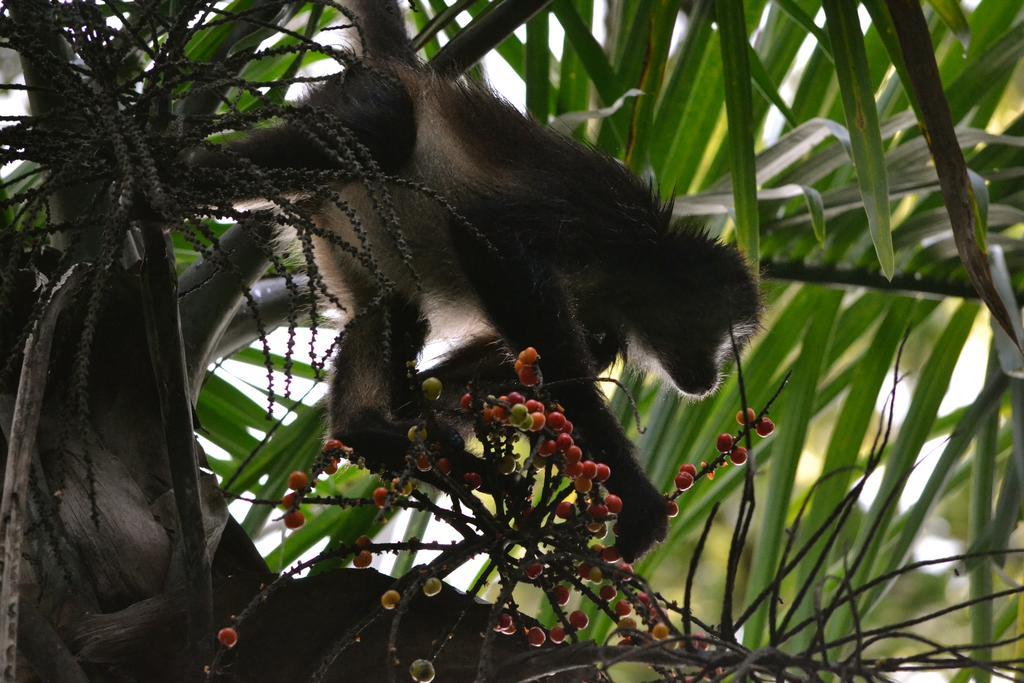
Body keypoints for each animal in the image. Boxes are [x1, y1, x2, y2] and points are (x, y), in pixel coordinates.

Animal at [188, 0, 761, 561]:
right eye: (716, 334)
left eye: (729, 346)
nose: (711, 378)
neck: (636, 264)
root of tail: (406, 70)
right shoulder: (601, 214)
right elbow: (491, 240)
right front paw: (633, 492)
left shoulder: (605, 313)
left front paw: (425, 422)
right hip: (358, 109)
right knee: (383, 131)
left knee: (389, 305)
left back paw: (368, 433)